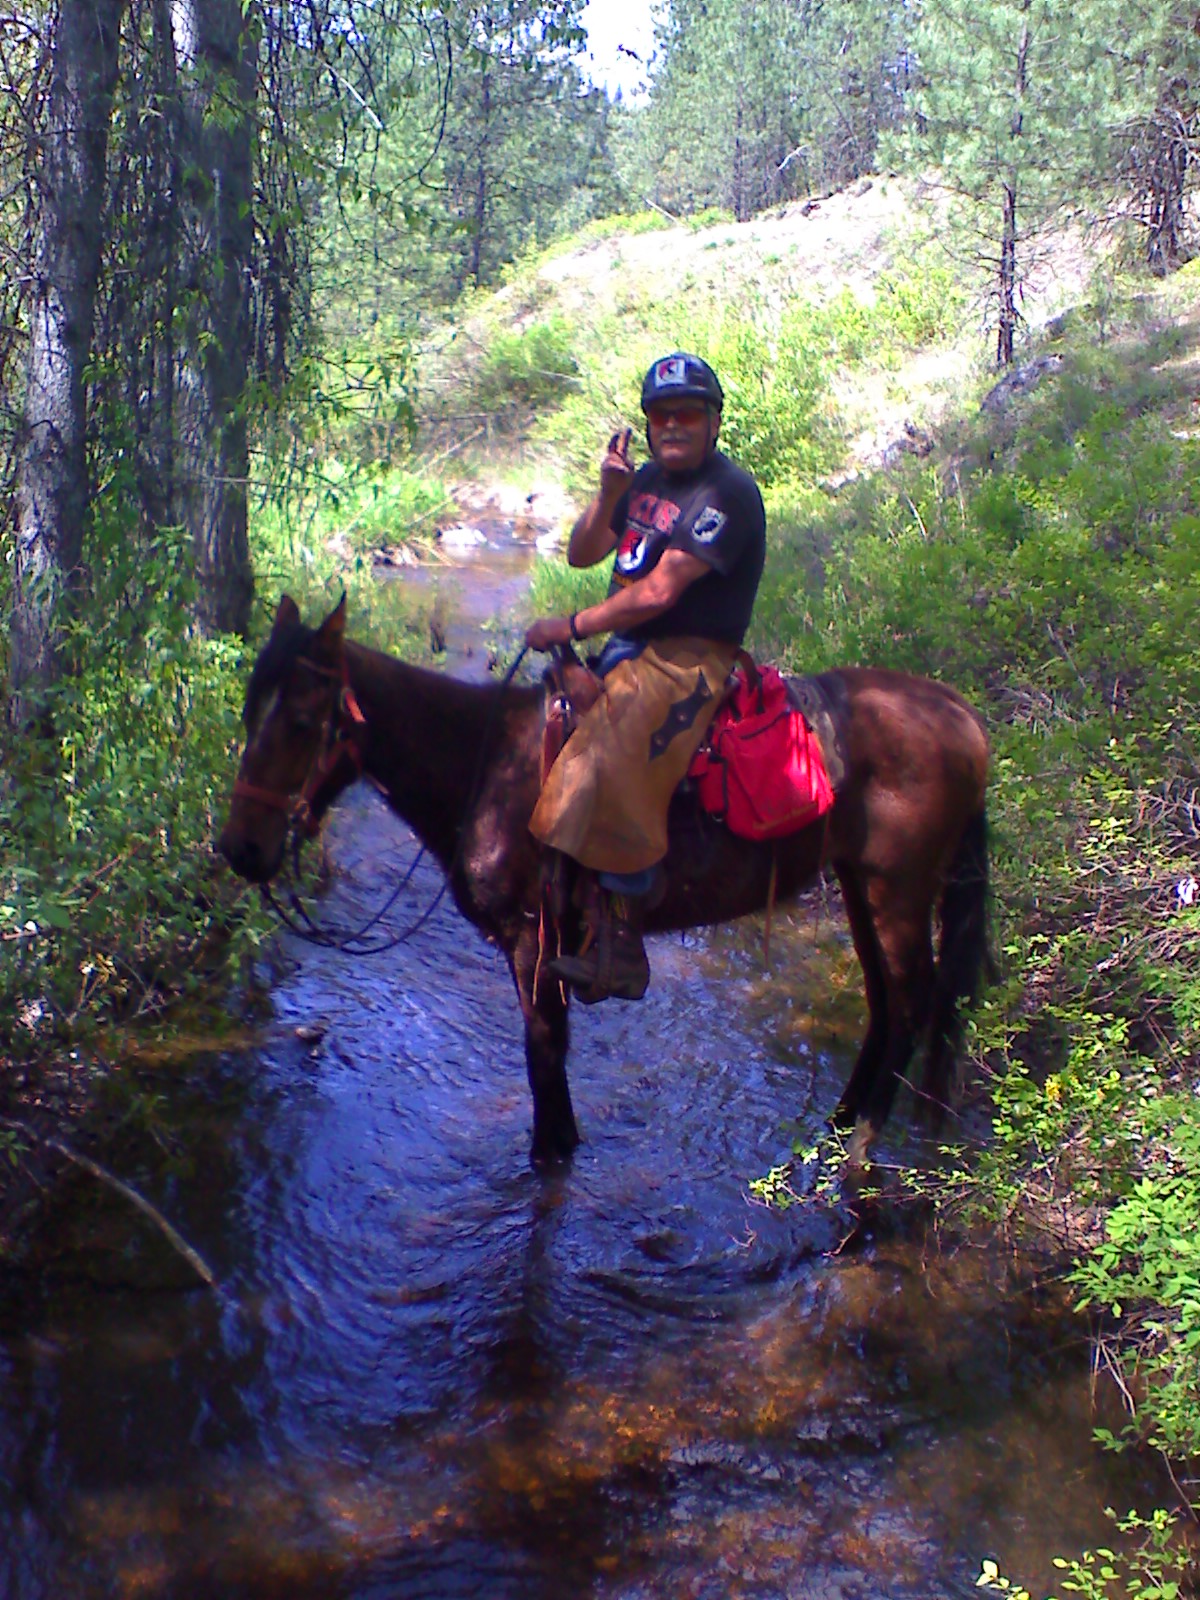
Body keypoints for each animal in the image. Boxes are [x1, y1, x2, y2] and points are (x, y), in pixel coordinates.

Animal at [218, 594, 991, 1168]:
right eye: (250, 712)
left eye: (302, 720)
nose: (241, 850)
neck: (484, 764)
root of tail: (963, 715)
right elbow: (550, 1053)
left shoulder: (531, 939)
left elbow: (543, 1055)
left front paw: (552, 1153)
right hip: (860, 884)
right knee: (886, 1004)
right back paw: (836, 1127)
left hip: (898, 891)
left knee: (913, 1001)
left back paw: (862, 1150)